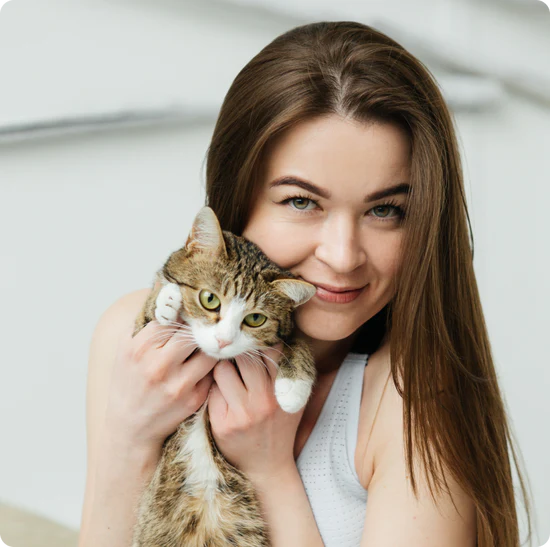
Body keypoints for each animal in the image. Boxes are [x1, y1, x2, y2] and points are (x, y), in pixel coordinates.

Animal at [131, 206, 318, 547]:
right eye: (210, 299)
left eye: (255, 319)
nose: (223, 340)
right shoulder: (139, 332)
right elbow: (149, 312)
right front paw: (167, 299)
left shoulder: (285, 334)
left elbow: (298, 341)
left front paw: (293, 389)